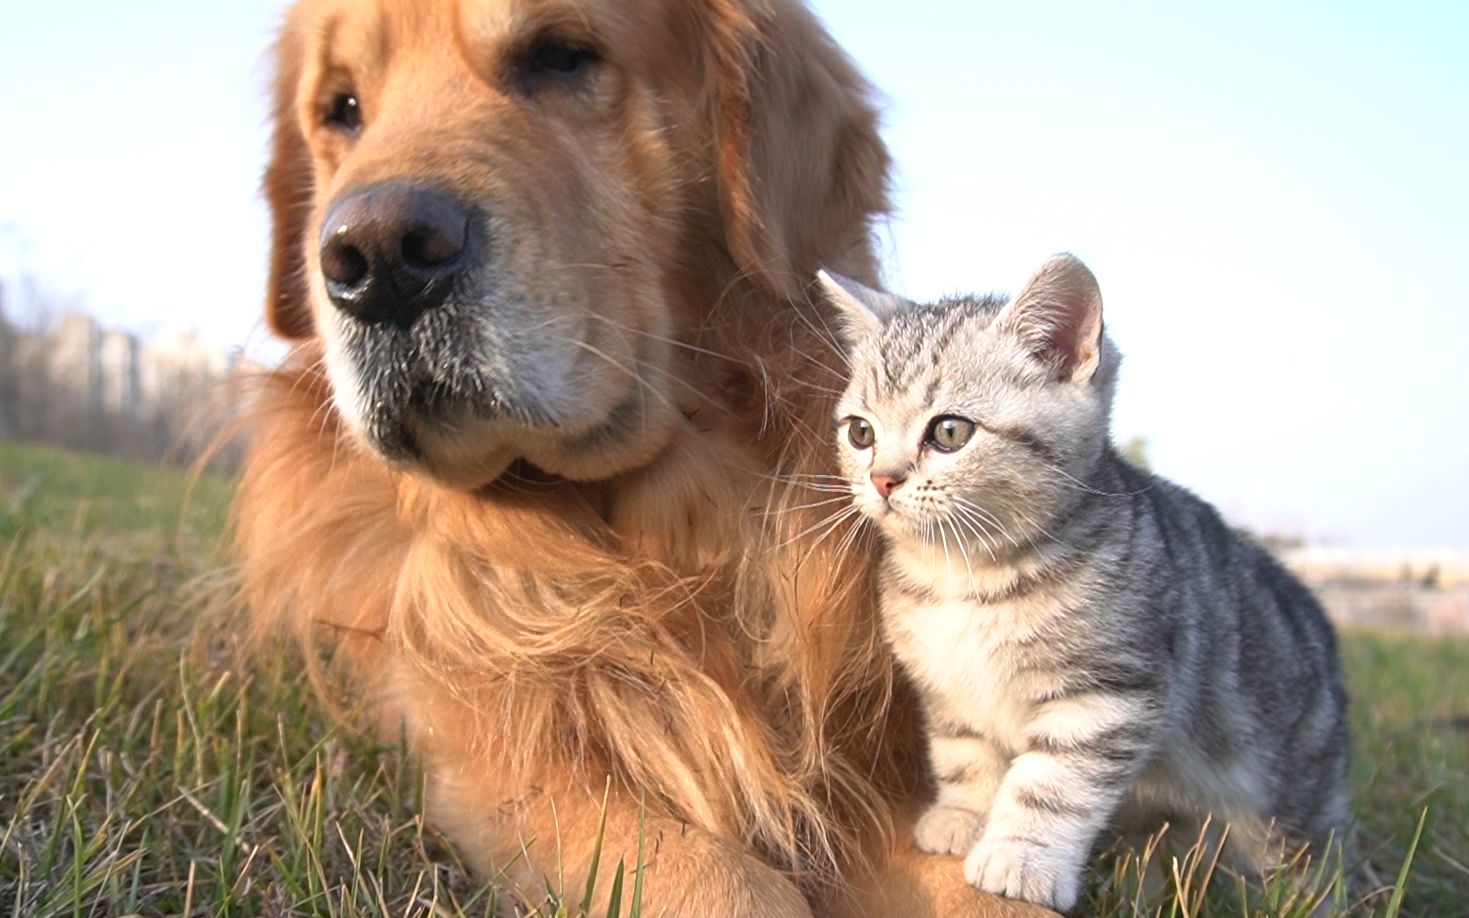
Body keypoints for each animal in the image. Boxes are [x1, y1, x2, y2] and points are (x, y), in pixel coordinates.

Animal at [237, 0, 1045, 910]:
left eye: (561, 55)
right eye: (342, 108)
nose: (375, 259)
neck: (664, 547)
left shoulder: (867, 771)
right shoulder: (491, 764)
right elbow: (718, 880)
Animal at [822, 252, 1345, 910]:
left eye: (948, 432)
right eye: (860, 433)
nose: (883, 480)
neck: (964, 580)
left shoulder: (1107, 692)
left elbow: (1051, 784)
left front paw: (1020, 857)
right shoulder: (947, 689)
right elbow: (964, 753)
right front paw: (963, 816)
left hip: (1291, 794)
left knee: (1306, 859)